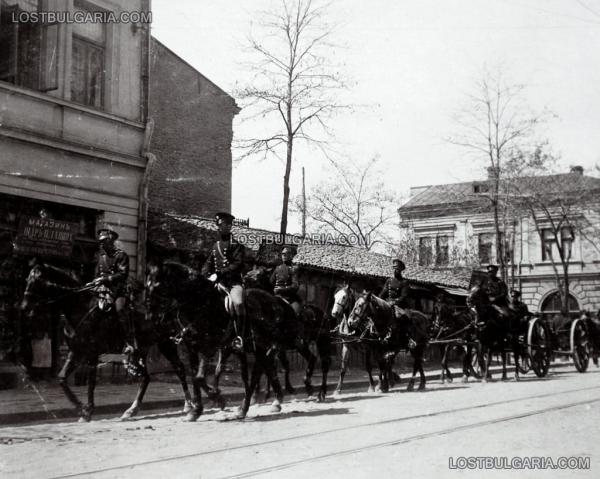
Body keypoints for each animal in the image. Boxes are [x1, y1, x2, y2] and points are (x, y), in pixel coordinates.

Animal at [19, 262, 192, 424]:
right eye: (27, 280)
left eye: (37, 281)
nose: (24, 308)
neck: (80, 309)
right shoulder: (75, 352)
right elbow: (62, 379)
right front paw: (81, 409)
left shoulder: (92, 354)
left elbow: (91, 383)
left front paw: (87, 410)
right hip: (142, 350)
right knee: (146, 377)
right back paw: (132, 410)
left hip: (166, 344)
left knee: (179, 368)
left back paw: (189, 405)